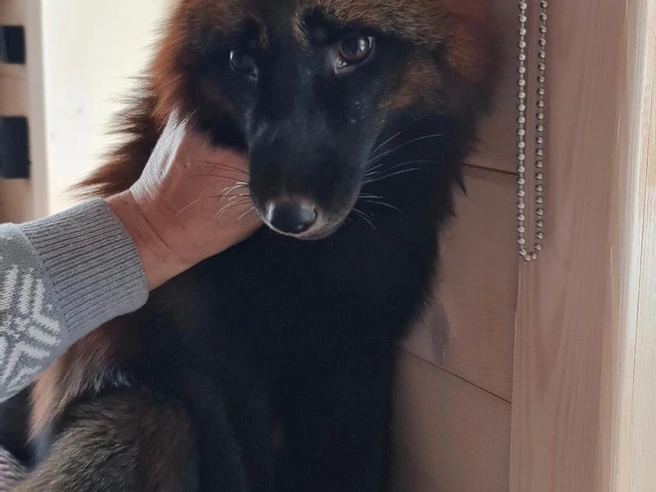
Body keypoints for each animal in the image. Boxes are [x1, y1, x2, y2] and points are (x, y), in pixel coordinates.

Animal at [1, 0, 498, 490]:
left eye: (355, 48)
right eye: (241, 62)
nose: (288, 216)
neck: (304, 275)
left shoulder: (358, 361)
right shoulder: (213, 372)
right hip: (148, 417)